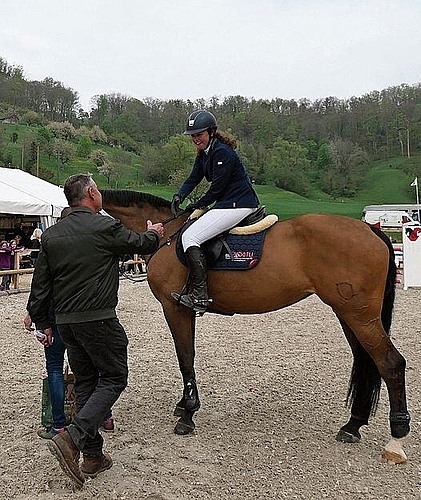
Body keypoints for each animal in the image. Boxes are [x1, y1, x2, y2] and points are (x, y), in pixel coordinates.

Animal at [101, 189, 410, 462]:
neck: (168, 235)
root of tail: (370, 229)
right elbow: (186, 357)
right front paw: (183, 406)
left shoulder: (175, 308)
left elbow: (185, 357)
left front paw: (188, 414)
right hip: (349, 314)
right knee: (366, 360)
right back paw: (353, 424)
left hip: (360, 316)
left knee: (390, 362)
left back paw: (396, 438)